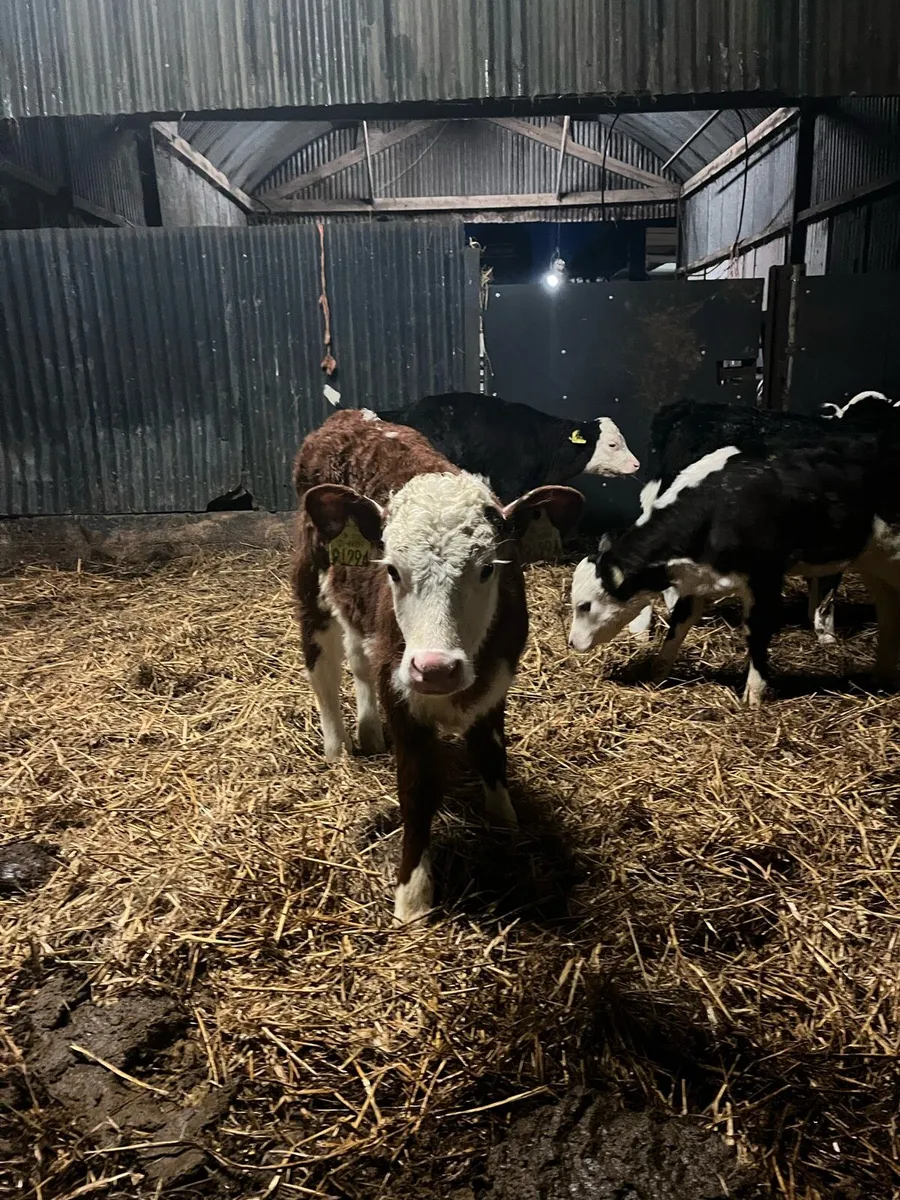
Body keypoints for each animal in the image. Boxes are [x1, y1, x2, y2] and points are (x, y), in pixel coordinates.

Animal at [293, 409, 584, 923]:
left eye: (488, 568)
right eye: (392, 568)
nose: (435, 669)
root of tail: (349, 417)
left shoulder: (496, 681)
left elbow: (491, 755)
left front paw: (506, 824)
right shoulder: (402, 692)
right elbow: (417, 790)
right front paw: (413, 895)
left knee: (359, 659)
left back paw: (369, 732)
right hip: (313, 582)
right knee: (323, 668)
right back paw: (337, 748)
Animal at [568, 430, 900, 705]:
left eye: (585, 606)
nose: (572, 643)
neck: (720, 506)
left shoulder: (765, 577)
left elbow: (757, 631)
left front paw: (753, 696)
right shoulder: (697, 580)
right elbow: (677, 626)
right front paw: (656, 673)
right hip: (873, 563)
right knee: (888, 610)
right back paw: (881, 676)